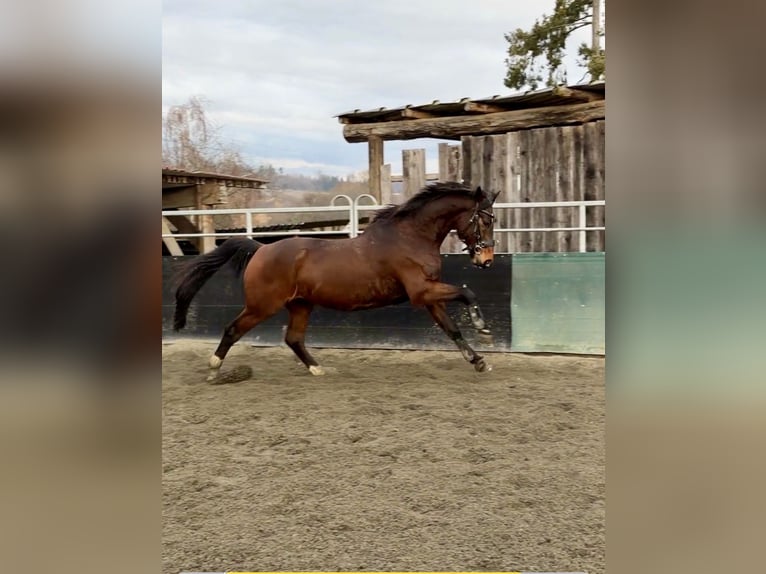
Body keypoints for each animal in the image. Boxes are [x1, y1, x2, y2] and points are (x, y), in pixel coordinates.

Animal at [173, 181, 500, 381]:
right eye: (485, 219)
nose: (486, 260)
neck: (411, 237)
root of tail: (261, 249)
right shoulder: (422, 292)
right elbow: (468, 294)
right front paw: (483, 329)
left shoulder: (430, 295)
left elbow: (452, 328)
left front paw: (479, 361)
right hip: (261, 306)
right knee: (233, 330)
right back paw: (213, 369)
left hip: (300, 305)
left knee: (293, 338)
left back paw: (318, 369)